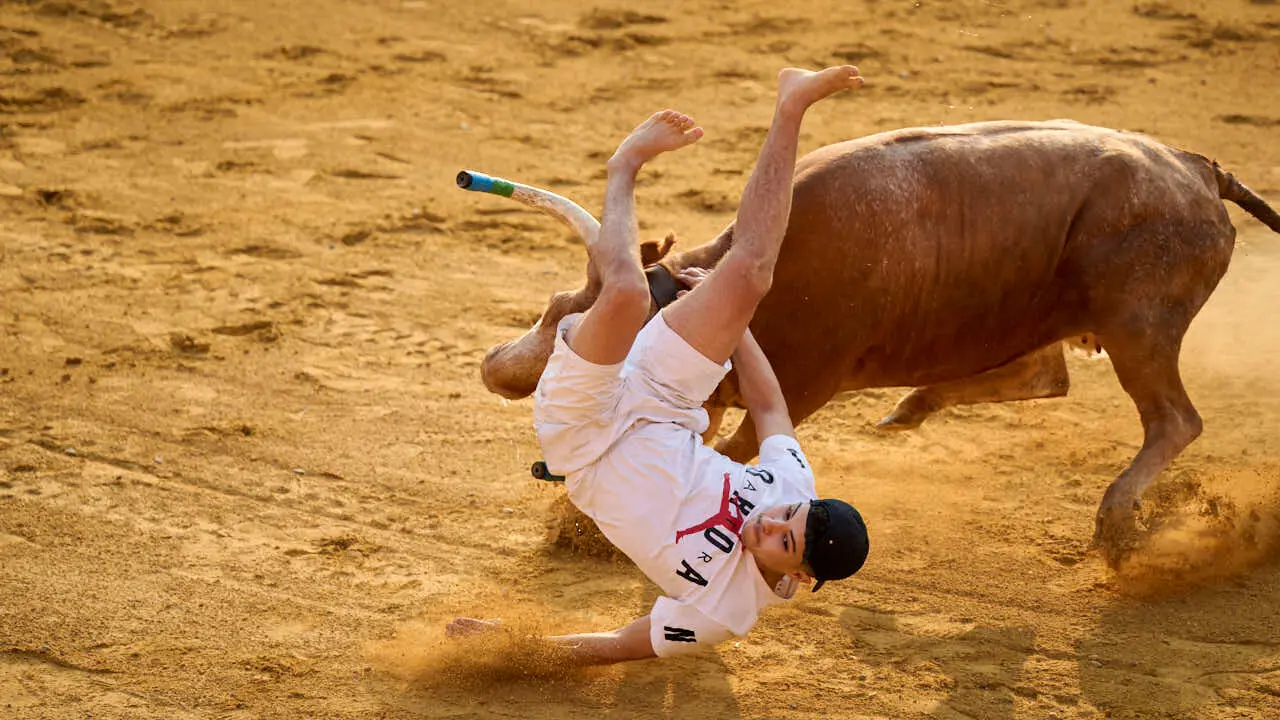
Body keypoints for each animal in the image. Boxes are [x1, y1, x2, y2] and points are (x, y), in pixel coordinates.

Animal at [462, 120, 1280, 565]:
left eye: (565, 321)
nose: (494, 371)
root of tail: (1198, 168)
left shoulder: (795, 391)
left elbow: (732, 456)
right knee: (1047, 375)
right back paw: (913, 407)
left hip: (1139, 326)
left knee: (1174, 419)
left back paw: (1115, 519)